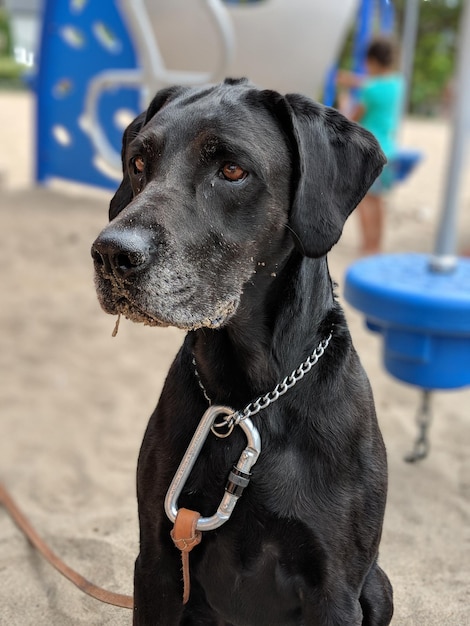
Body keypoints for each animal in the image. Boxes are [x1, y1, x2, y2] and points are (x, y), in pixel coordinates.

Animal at [91, 79, 392, 624]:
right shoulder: (157, 564)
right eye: (139, 163)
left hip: (378, 585)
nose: (111, 254)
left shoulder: (335, 592)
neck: (246, 403)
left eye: (232, 170)